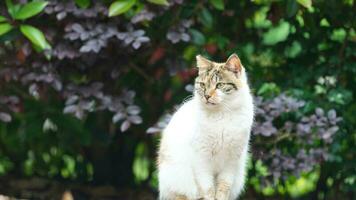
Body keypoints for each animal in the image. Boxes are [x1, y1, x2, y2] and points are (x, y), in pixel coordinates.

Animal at [158, 53, 253, 200]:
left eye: (219, 85)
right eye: (202, 85)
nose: (207, 96)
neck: (221, 114)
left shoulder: (231, 161)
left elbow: (223, 188)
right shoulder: (202, 159)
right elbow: (208, 189)